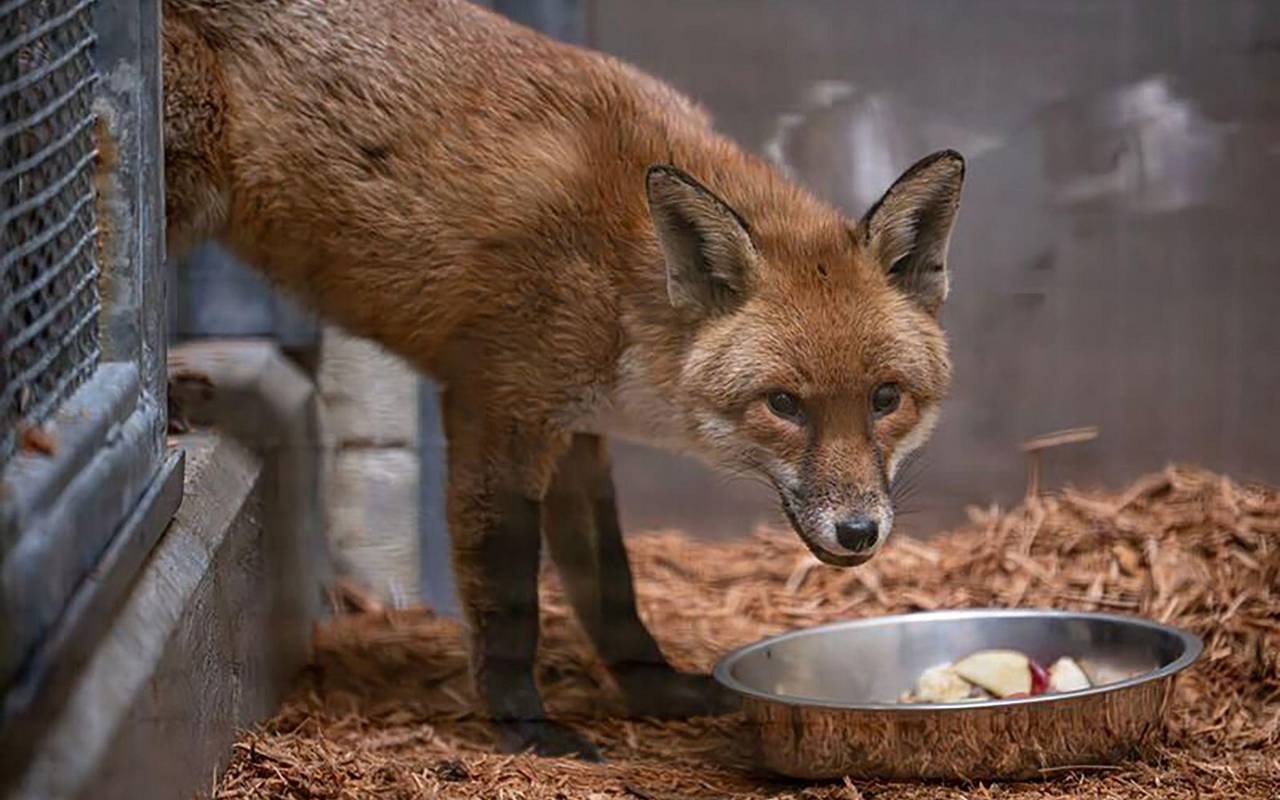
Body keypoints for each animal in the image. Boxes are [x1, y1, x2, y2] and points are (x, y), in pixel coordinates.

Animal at [161, 0, 964, 760]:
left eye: (886, 399)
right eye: (784, 405)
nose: (859, 532)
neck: (621, 277)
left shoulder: (578, 432)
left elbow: (612, 588)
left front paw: (658, 690)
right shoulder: (497, 410)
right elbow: (512, 599)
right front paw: (528, 728)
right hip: (186, 179)